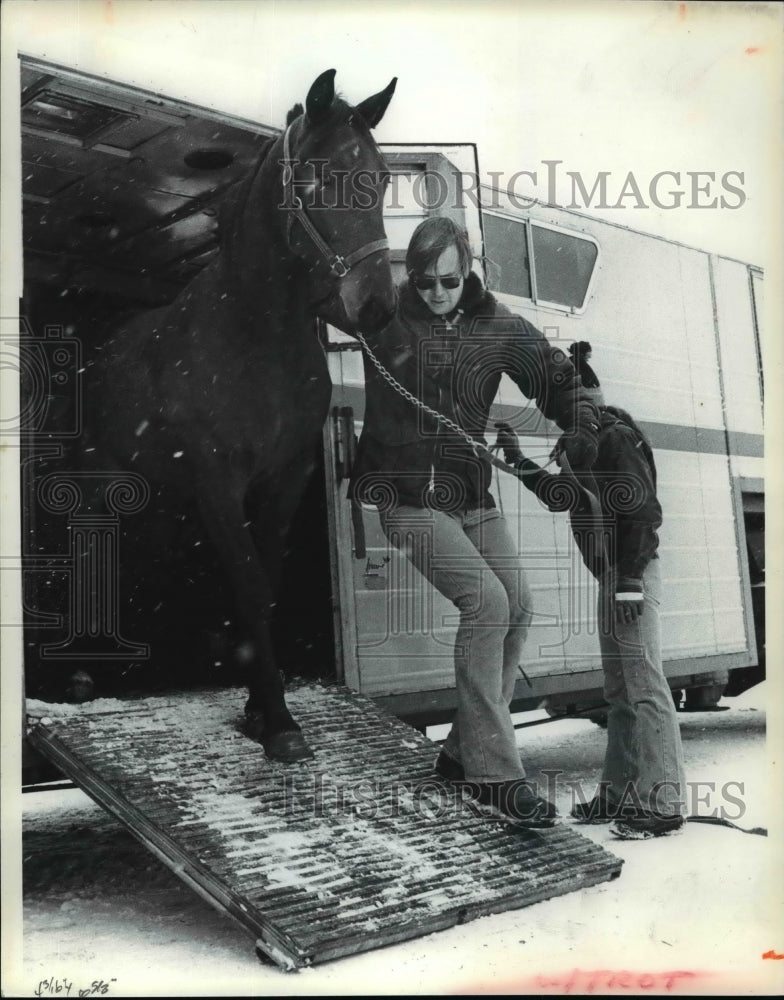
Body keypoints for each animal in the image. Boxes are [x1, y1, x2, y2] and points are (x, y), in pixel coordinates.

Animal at [84, 70, 398, 756]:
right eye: (320, 174)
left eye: (384, 177)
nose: (378, 306)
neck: (255, 335)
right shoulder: (218, 480)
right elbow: (251, 585)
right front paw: (278, 721)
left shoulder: (284, 479)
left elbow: (265, 584)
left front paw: (258, 705)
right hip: (104, 483)